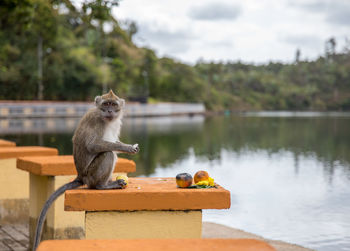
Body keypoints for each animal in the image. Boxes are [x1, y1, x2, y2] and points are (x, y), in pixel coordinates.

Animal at [32, 90, 139, 251]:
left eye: (113, 105)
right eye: (106, 104)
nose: (109, 111)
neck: (106, 120)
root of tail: (80, 176)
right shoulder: (96, 121)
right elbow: (93, 146)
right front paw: (126, 148)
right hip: (91, 174)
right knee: (108, 154)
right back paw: (102, 185)